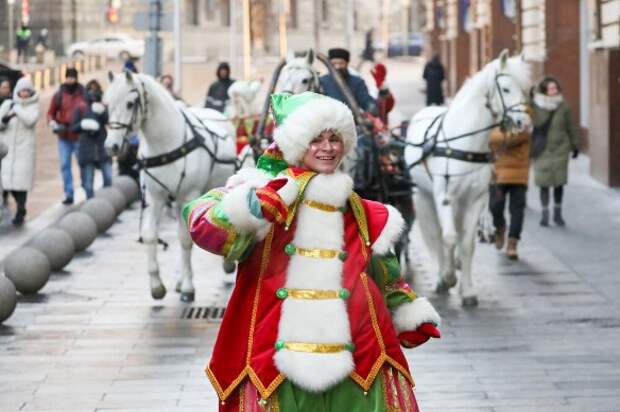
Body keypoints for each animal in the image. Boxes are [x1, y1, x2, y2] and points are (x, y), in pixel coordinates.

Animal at [104, 70, 237, 302]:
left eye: (130, 103)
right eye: (108, 103)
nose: (111, 146)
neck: (166, 144)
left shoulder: (188, 195)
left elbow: (185, 240)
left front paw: (188, 288)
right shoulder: (154, 197)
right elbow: (150, 236)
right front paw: (157, 286)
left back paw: (226, 264)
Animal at [404, 50, 532, 306]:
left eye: (524, 89)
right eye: (505, 89)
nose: (523, 124)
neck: (465, 142)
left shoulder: (474, 199)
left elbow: (467, 244)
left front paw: (468, 290)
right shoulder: (443, 197)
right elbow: (448, 237)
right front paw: (448, 277)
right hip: (425, 197)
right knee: (438, 235)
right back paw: (444, 275)